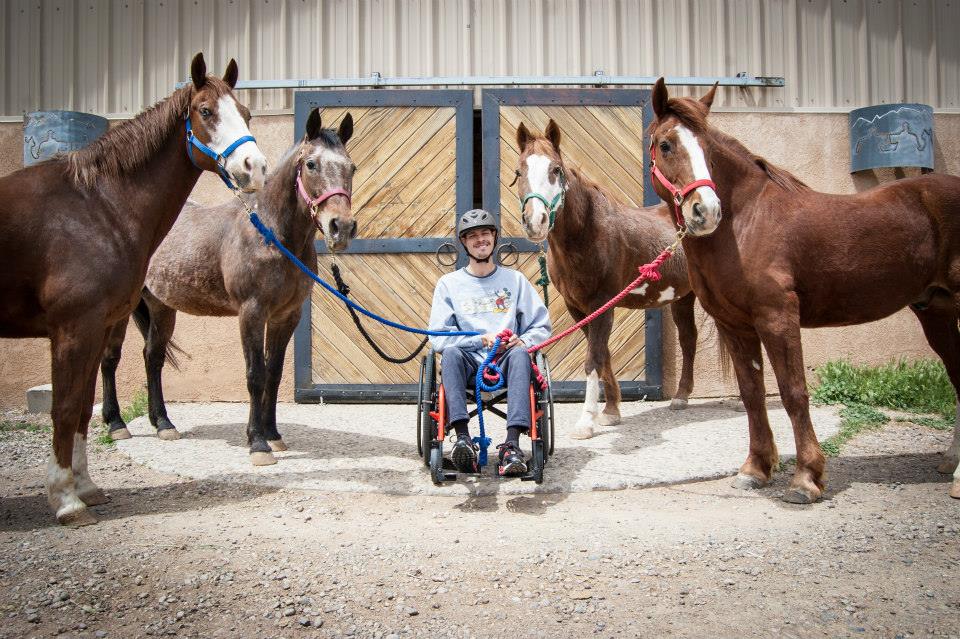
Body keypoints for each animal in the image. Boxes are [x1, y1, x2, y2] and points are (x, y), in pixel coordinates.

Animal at [0, 55, 268, 524]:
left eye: (247, 113)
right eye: (205, 111)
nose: (254, 166)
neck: (98, 206)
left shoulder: (95, 324)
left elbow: (80, 405)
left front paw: (86, 487)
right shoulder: (73, 328)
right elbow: (65, 407)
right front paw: (67, 500)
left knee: (147, 359)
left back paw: (159, 422)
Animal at [98, 107, 356, 468]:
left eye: (351, 167)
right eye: (311, 164)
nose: (340, 227)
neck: (271, 234)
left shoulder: (286, 316)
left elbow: (274, 374)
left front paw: (273, 435)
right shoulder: (251, 312)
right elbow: (255, 375)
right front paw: (257, 443)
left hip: (162, 306)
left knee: (153, 357)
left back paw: (163, 423)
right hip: (123, 309)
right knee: (110, 358)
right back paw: (117, 423)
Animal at [516, 120, 696, 440]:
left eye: (556, 169)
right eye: (519, 171)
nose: (534, 222)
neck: (587, 232)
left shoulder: (603, 304)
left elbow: (593, 359)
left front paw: (586, 422)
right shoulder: (580, 308)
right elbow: (604, 355)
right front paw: (611, 411)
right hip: (682, 298)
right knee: (689, 339)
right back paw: (681, 397)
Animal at [644, 77, 960, 502]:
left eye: (706, 147)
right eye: (665, 145)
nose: (705, 211)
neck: (747, 222)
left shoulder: (777, 318)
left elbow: (793, 392)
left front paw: (806, 478)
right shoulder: (736, 326)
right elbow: (752, 394)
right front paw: (755, 469)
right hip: (936, 311)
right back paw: (952, 463)